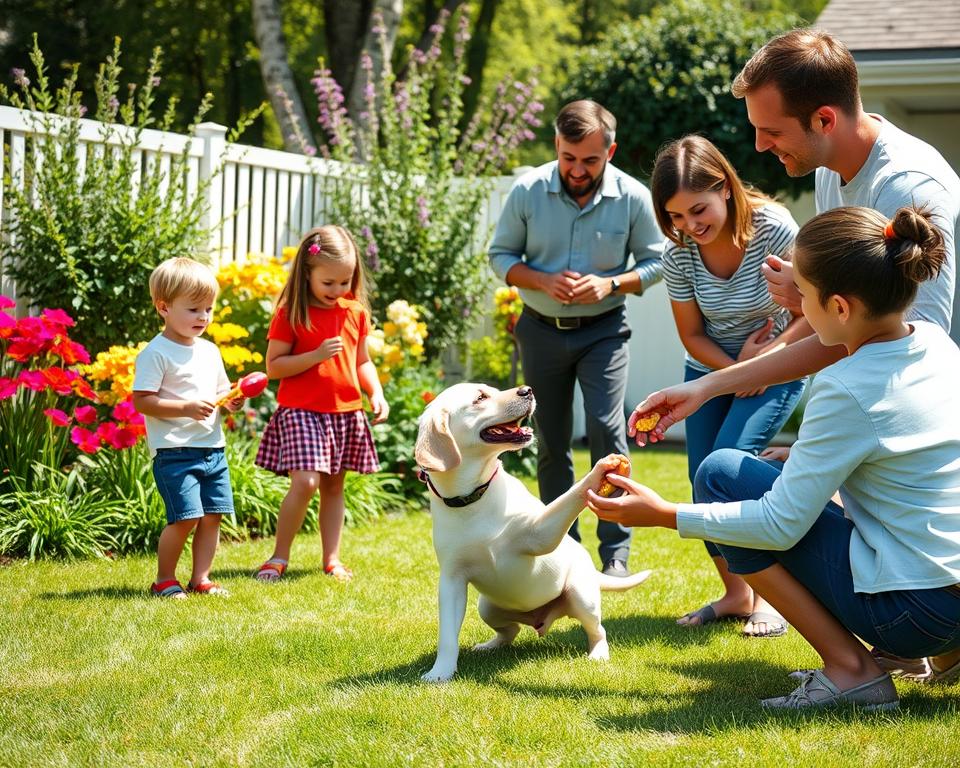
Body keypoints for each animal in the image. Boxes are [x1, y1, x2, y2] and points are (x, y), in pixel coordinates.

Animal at [416, 380, 648, 680]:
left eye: (491, 389)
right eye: (480, 398)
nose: (527, 390)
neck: (475, 496)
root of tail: (538, 617)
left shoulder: (540, 535)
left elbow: (570, 497)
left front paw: (599, 472)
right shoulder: (451, 581)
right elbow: (447, 636)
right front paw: (440, 672)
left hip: (581, 595)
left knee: (598, 630)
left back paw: (598, 653)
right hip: (487, 607)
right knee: (511, 630)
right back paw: (490, 645)